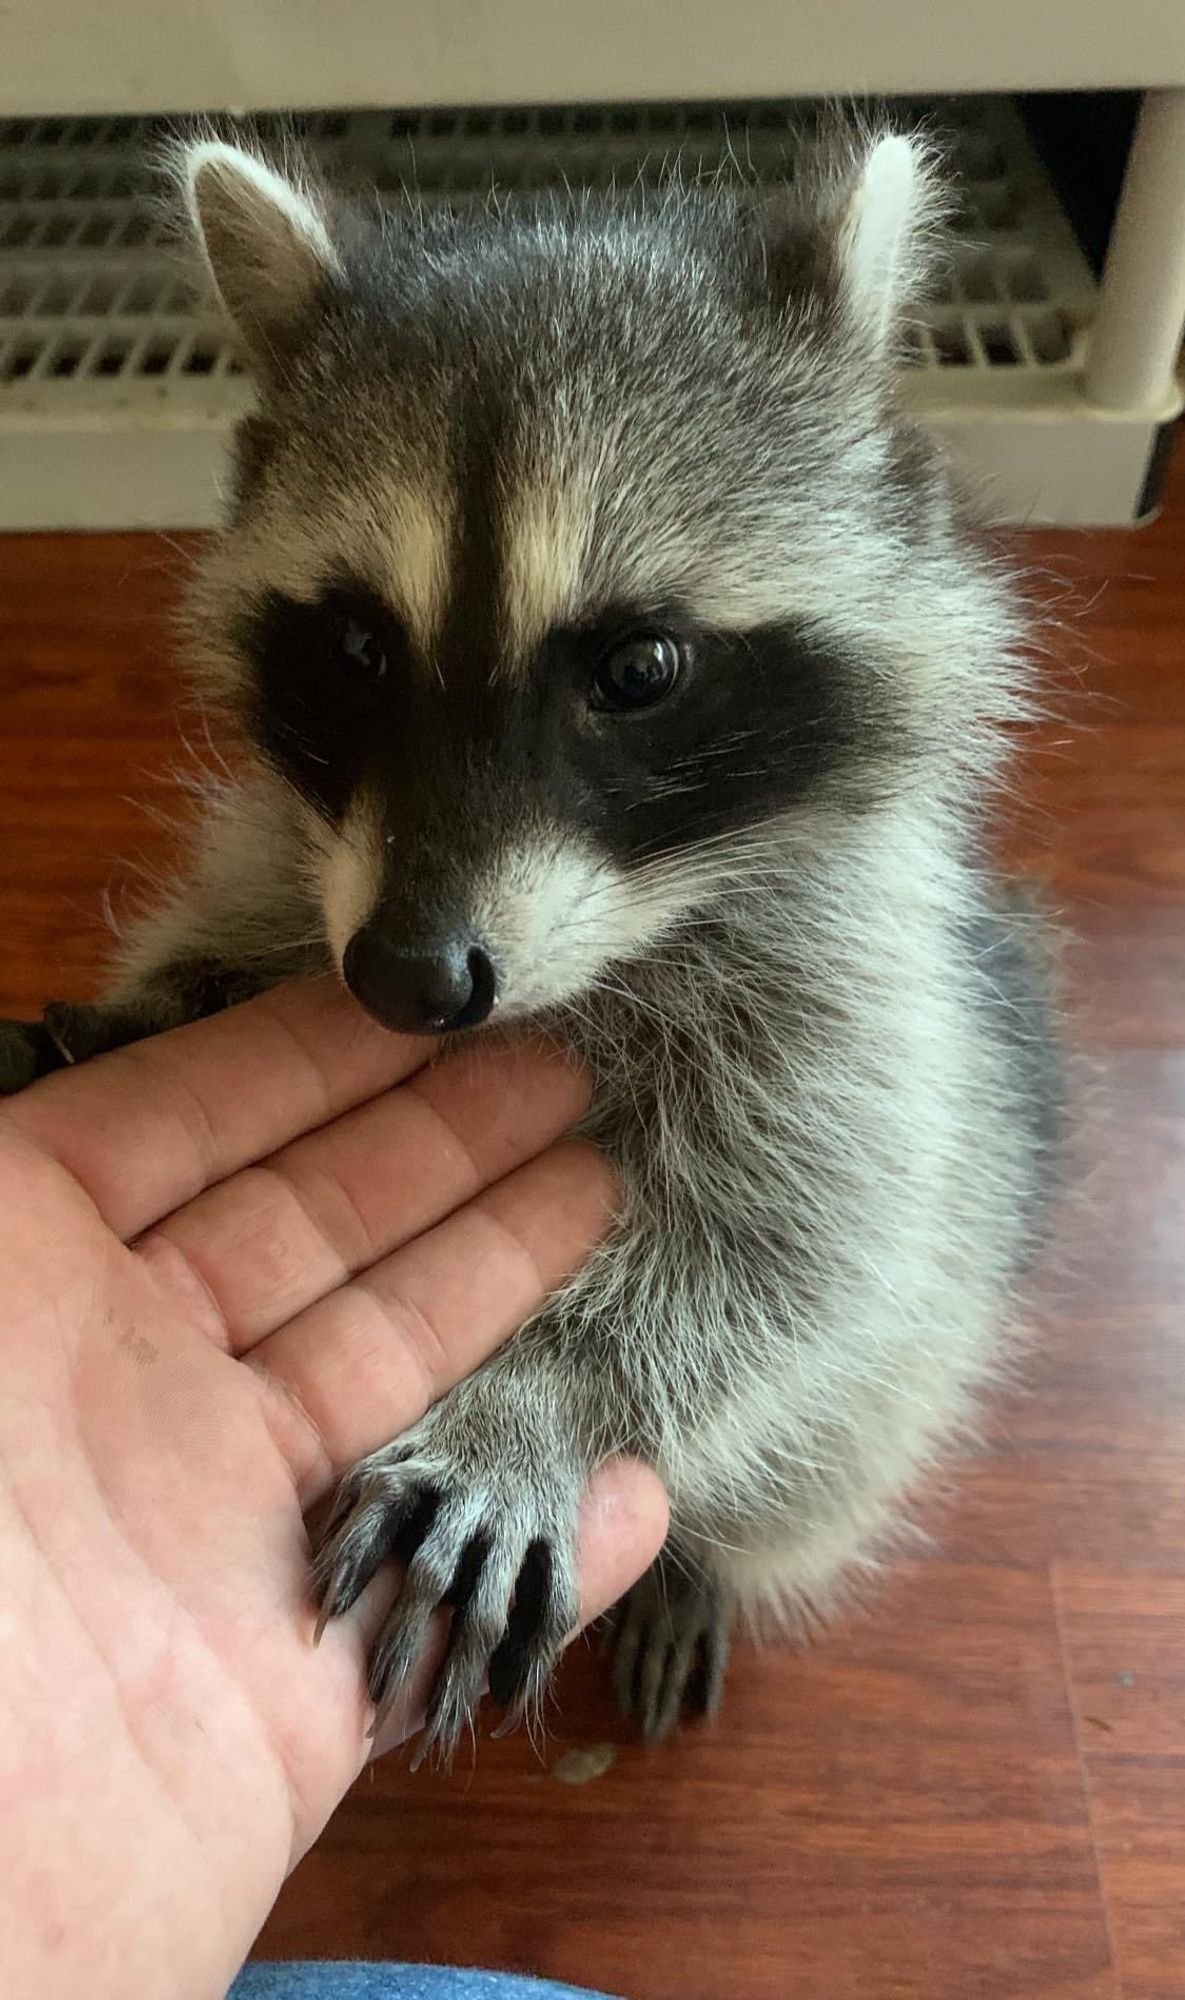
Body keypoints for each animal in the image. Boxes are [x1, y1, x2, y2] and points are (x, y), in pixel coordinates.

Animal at [0, 121, 1056, 1752]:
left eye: (639, 670)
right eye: (357, 648)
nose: (408, 978)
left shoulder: (867, 992)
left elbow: (806, 1239)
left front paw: (538, 1401)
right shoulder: (299, 854)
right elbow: (235, 913)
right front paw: (153, 1000)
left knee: (851, 1417)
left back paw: (700, 1557)